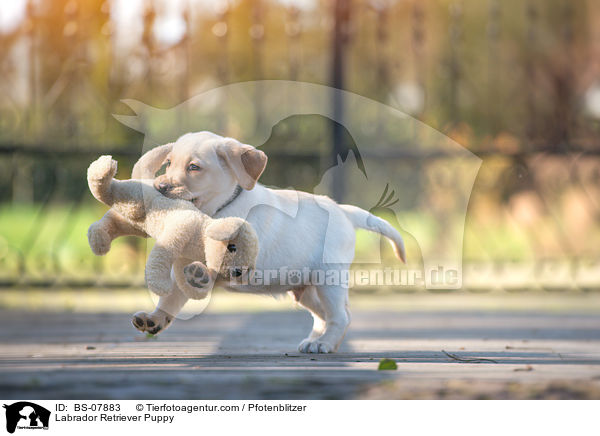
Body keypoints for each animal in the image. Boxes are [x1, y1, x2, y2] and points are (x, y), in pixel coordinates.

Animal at [89, 131, 406, 352]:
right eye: (168, 164)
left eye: (194, 167)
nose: (160, 187)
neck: (217, 210)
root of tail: (343, 210)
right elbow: (172, 297)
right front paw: (156, 319)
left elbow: (212, 269)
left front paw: (201, 276)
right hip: (304, 288)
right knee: (326, 315)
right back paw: (316, 338)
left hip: (328, 279)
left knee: (341, 315)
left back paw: (324, 343)